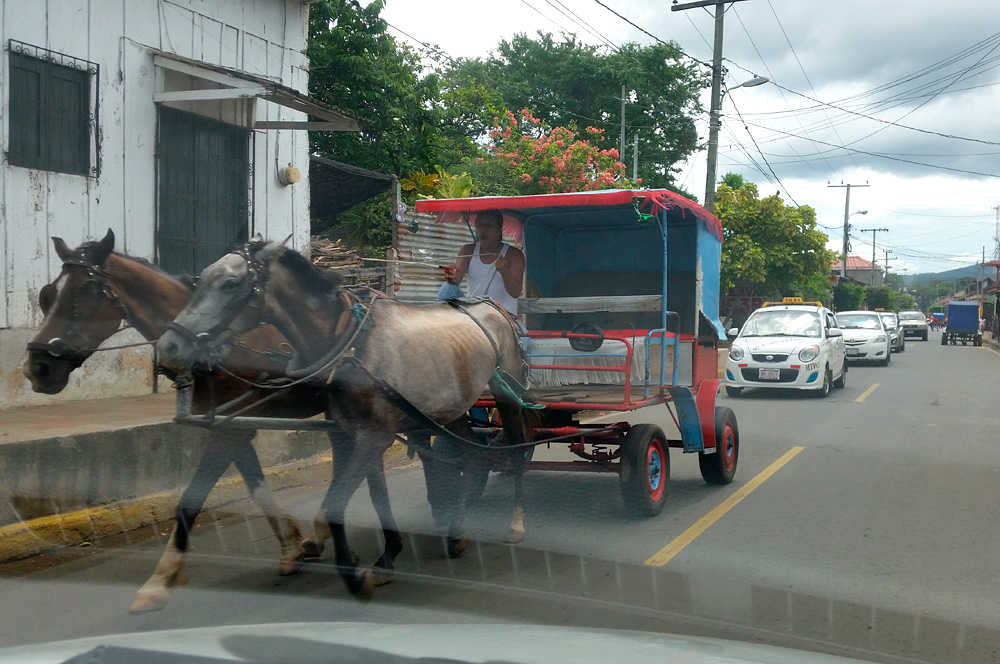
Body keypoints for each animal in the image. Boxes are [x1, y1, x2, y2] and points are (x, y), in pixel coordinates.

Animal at [21, 230, 396, 612]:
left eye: (84, 292)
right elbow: (256, 486)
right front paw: (291, 547)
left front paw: (159, 581)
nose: (38, 369)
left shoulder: (230, 431)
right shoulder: (229, 424)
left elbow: (191, 499)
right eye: (46, 295)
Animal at [156, 241, 540, 600]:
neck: (349, 341)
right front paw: (386, 557)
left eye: (230, 283)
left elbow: (336, 503)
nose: (169, 347)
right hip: (455, 407)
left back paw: (516, 522)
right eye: (201, 279)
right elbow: (370, 495)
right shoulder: (352, 431)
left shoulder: (374, 436)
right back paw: (456, 533)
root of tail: (493, 307)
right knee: (471, 452)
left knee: (517, 451)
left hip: (506, 392)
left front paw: (355, 574)